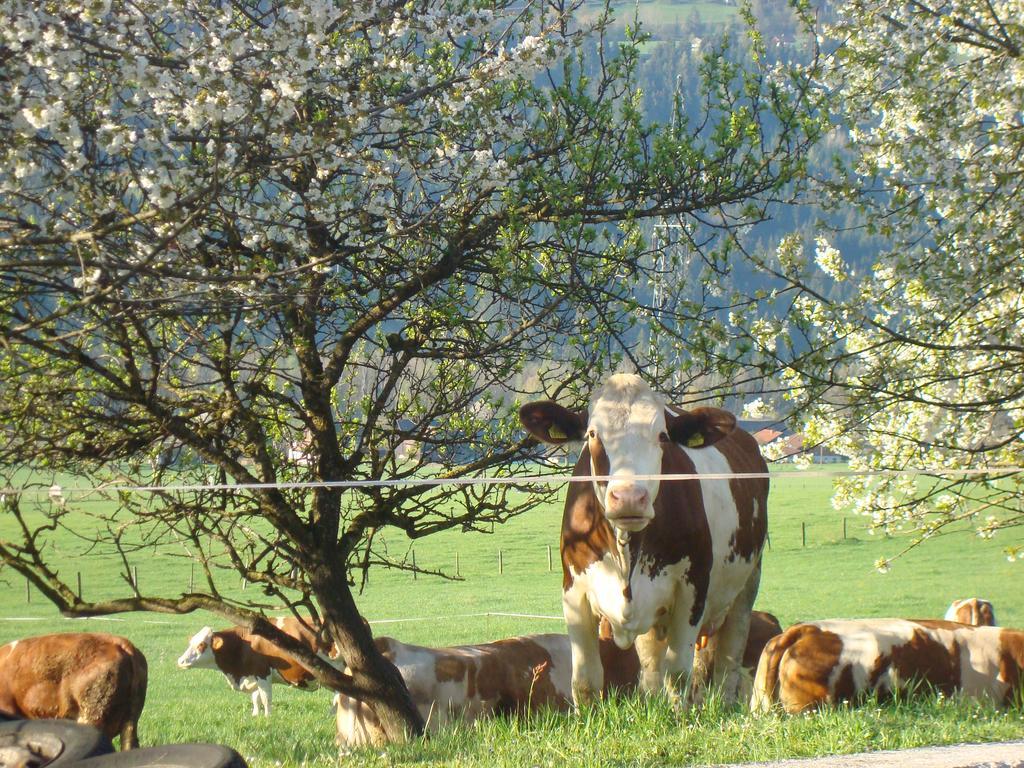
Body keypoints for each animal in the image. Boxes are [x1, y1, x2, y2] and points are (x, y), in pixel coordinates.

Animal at [178, 618, 333, 720]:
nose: (180, 661)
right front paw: (255, 715)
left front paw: (268, 717)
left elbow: (265, 698)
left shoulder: (262, 673)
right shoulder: (252, 674)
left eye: (201, 645)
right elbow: (255, 698)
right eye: (191, 643)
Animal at [520, 370, 770, 704]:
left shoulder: (692, 590)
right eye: (592, 434)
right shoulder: (574, 589)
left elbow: (678, 676)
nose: (628, 497)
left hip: (747, 584)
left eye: (662, 436)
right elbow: (585, 682)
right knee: (652, 667)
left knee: (727, 660)